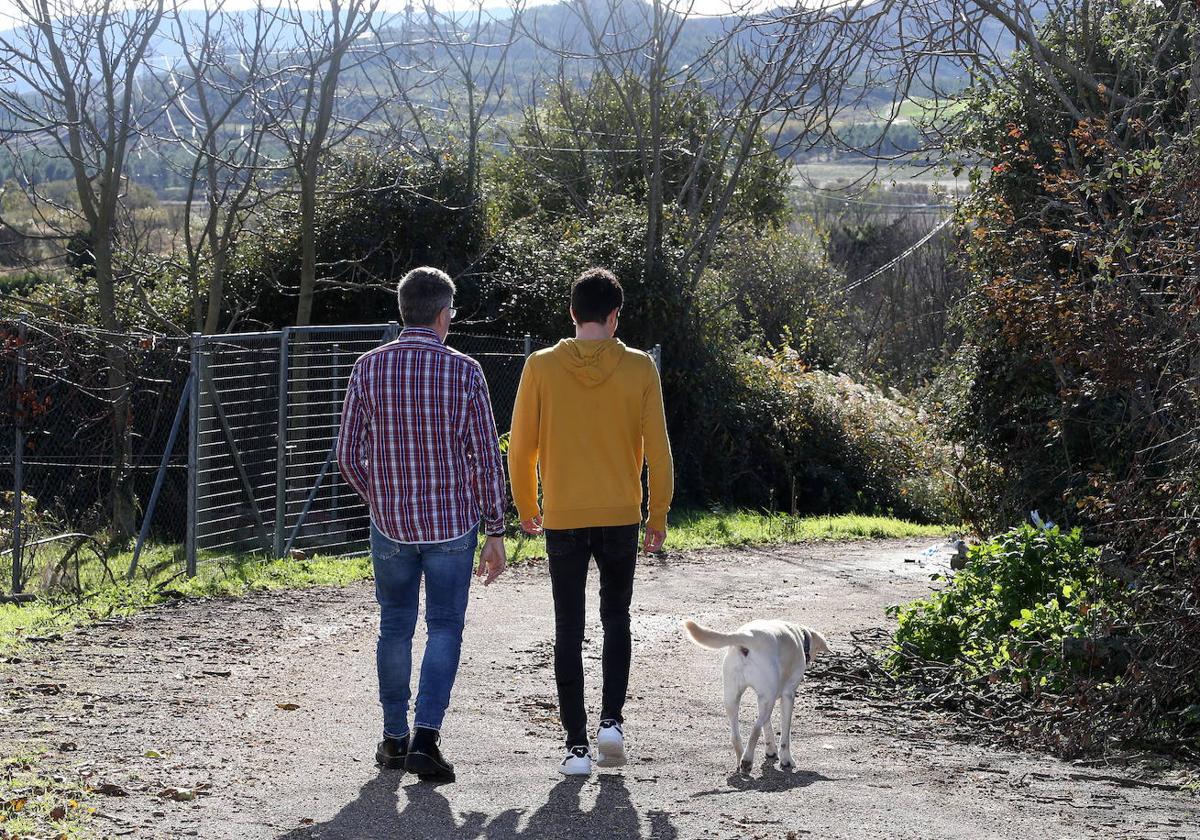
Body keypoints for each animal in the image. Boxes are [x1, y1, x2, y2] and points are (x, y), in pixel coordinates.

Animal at [681, 619, 830, 772]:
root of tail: (748, 637)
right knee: (755, 729)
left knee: (736, 735)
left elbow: (768, 726)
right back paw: (747, 760)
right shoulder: (788, 695)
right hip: (769, 699)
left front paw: (771, 750)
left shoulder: (761, 699)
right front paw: (786, 760)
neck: (801, 637)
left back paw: (740, 759)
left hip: (732, 697)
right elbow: (785, 734)